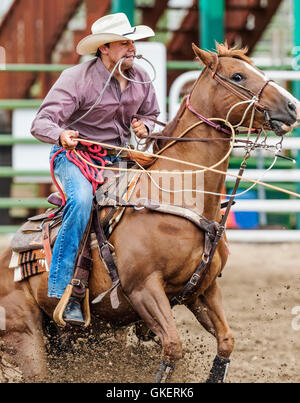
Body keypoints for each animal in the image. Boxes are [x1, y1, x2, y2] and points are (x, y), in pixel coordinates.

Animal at [0, 42, 300, 384]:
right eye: (238, 76)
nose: (292, 106)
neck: (180, 194)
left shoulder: (204, 291)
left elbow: (226, 341)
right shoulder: (144, 288)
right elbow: (172, 346)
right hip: (26, 337)